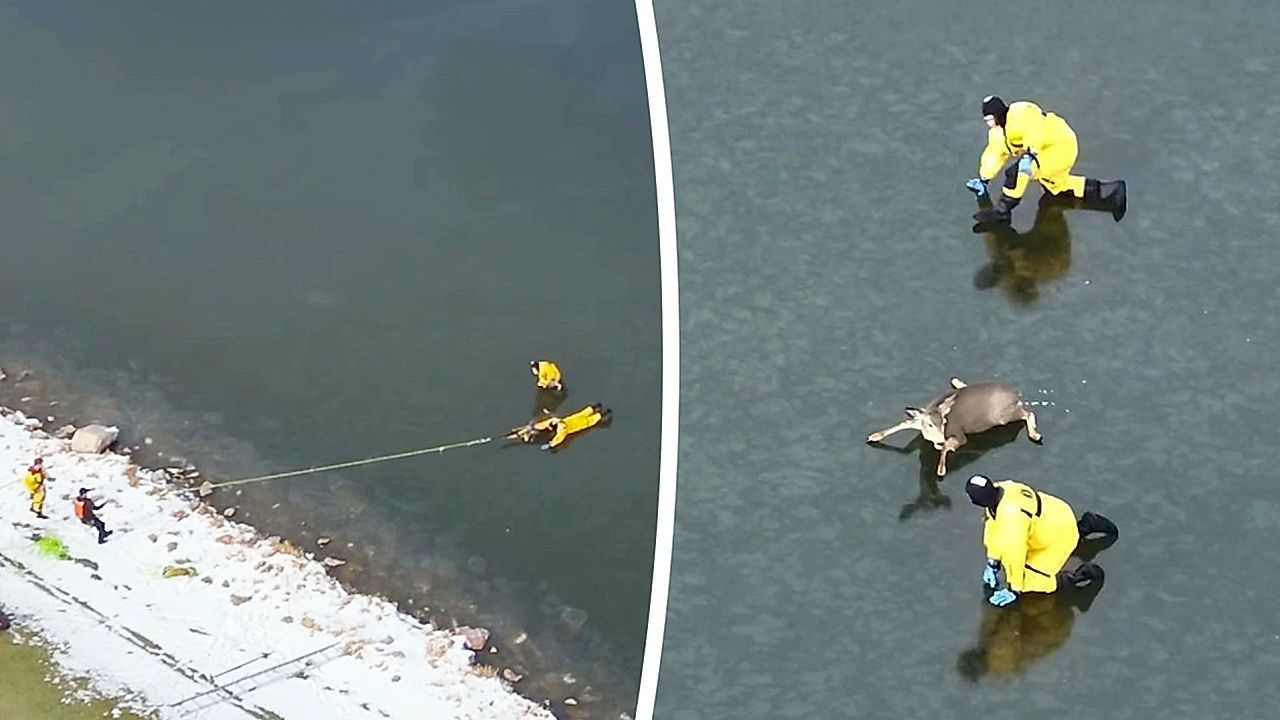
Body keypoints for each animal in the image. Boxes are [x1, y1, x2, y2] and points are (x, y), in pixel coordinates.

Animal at [866, 377, 1042, 478]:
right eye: (930, 424)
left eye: (944, 423)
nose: (940, 440)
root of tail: (1014, 394)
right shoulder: (919, 421)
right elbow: (903, 424)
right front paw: (874, 436)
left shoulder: (959, 434)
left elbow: (947, 447)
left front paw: (941, 470)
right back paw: (957, 382)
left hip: (1002, 416)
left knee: (1028, 413)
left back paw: (1035, 435)